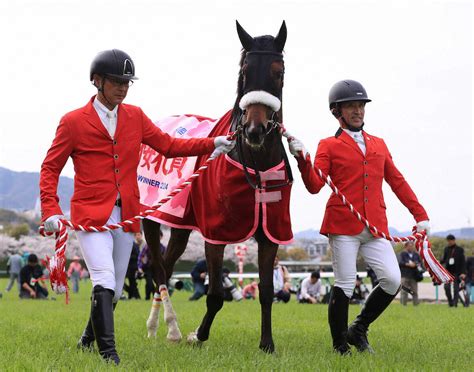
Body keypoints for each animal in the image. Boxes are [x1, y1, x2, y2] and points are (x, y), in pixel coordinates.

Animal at [142, 21, 292, 354]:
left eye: (279, 71)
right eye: (245, 71)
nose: (254, 130)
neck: (256, 164)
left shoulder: (270, 232)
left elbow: (266, 290)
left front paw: (267, 343)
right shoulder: (216, 232)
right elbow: (214, 295)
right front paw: (198, 334)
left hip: (181, 224)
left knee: (166, 266)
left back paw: (158, 326)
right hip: (150, 216)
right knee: (158, 269)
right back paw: (170, 328)